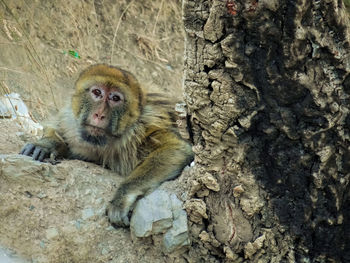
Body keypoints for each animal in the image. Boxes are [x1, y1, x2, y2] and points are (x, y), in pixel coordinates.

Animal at [20, 64, 193, 227]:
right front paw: (47, 144)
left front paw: (122, 198)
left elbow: (175, 148)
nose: (99, 114)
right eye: (97, 93)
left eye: (115, 98)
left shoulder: (145, 125)